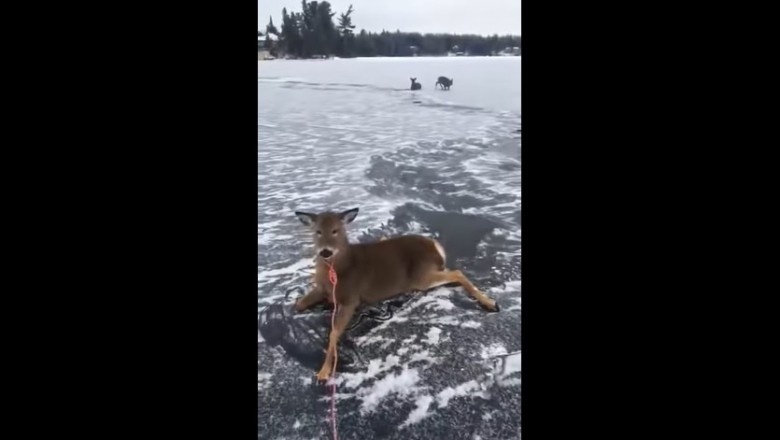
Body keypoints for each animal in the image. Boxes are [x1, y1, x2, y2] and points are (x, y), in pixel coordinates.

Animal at [292, 207, 500, 382]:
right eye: (317, 231)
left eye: (336, 230)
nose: (325, 251)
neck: (335, 273)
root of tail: (436, 246)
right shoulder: (322, 289)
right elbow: (298, 304)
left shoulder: (351, 298)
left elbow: (334, 333)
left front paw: (324, 372)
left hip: (421, 276)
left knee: (457, 272)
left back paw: (490, 303)